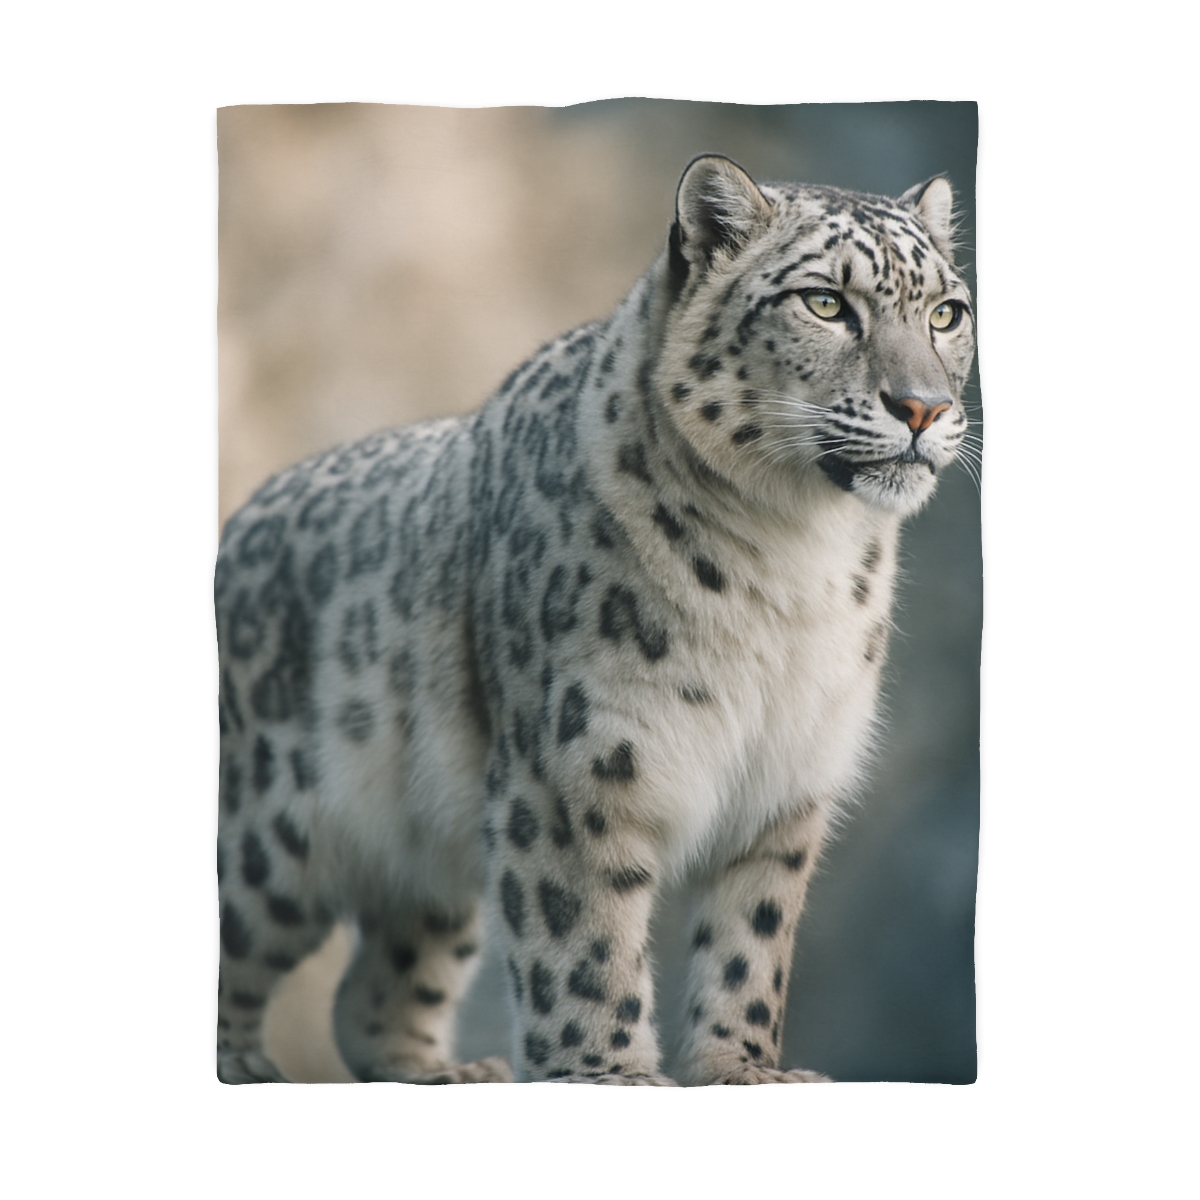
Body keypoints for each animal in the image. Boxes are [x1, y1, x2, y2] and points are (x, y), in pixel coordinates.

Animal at [215, 154, 976, 1085]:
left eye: (946, 312)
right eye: (826, 303)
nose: (923, 408)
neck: (795, 560)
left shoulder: (787, 782)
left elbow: (751, 939)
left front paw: (745, 1067)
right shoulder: (577, 769)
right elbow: (582, 935)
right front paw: (606, 1071)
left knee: (377, 988)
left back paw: (448, 1073)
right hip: (265, 837)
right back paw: (250, 1067)